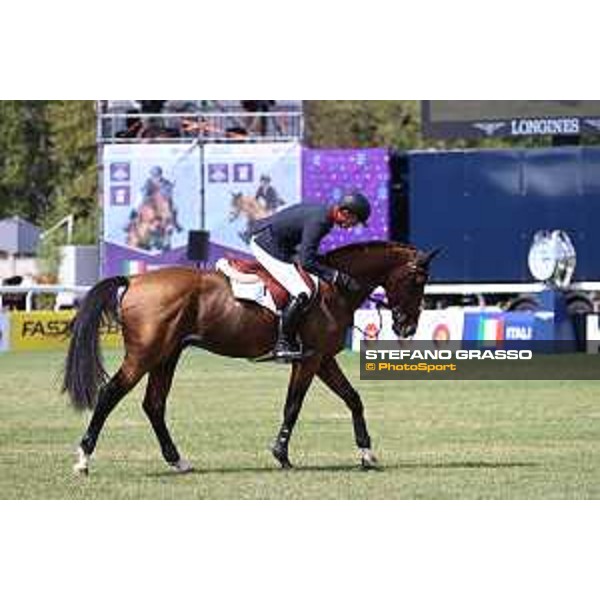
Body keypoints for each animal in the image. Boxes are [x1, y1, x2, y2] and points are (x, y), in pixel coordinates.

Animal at [63, 241, 436, 476]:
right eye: (418, 279)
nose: (407, 326)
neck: (335, 288)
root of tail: (134, 279)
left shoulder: (323, 359)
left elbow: (353, 398)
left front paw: (366, 453)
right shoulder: (309, 360)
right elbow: (293, 406)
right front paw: (281, 455)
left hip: (167, 356)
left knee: (154, 404)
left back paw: (178, 461)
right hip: (145, 355)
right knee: (110, 394)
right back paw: (83, 460)